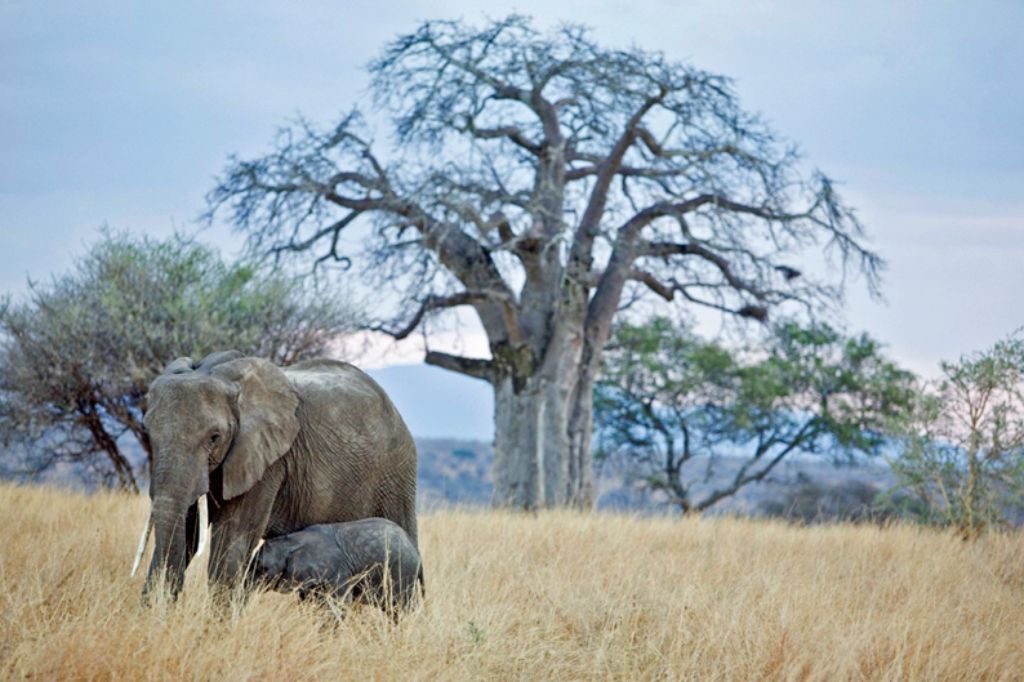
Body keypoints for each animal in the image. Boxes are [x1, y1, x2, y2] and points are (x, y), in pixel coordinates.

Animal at [133, 348, 419, 598]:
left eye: (214, 437)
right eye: (147, 431)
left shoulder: (268, 460)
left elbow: (232, 540)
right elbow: (187, 531)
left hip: (395, 475)